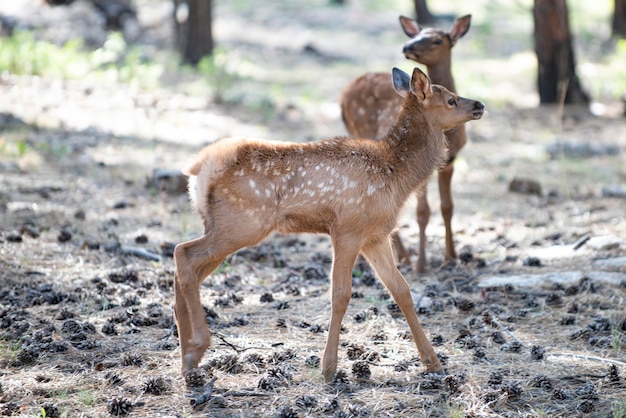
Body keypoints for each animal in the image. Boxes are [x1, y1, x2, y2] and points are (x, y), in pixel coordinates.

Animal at [173, 67, 486, 384]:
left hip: (221, 224)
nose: (479, 105)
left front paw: (433, 363)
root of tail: (198, 169)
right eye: (451, 99)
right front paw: (329, 368)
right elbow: (340, 294)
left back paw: (188, 359)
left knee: (186, 267)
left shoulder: (375, 236)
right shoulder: (348, 227)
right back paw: (197, 347)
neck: (396, 175)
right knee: (183, 253)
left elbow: (401, 290)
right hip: (243, 222)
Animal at [342, 14, 468, 274]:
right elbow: (423, 212)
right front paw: (422, 264)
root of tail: (342, 96)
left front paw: (452, 257)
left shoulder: (450, 161)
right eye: (416, 34)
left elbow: (447, 208)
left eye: (437, 40)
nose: (407, 47)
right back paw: (403, 257)